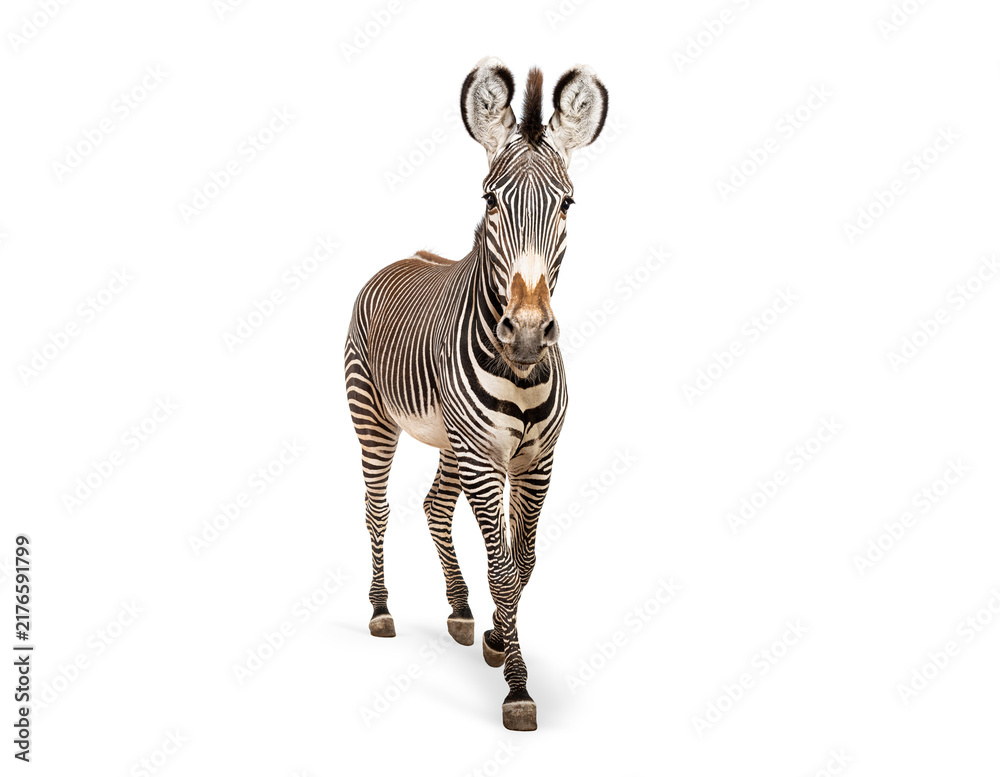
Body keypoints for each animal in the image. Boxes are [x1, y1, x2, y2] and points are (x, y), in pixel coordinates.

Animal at [344, 56, 608, 731]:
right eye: (490, 200)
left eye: (568, 204)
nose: (528, 331)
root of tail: (403, 256)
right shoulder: (485, 460)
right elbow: (504, 568)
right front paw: (517, 685)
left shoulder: (536, 461)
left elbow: (525, 562)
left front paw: (494, 634)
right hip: (376, 420)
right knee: (378, 509)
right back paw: (380, 609)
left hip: (448, 440)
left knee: (435, 506)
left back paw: (461, 611)